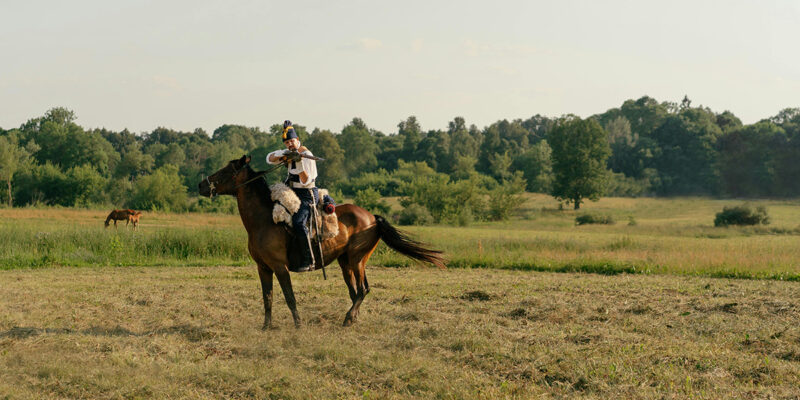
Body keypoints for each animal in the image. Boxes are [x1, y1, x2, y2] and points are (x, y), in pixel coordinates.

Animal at [194, 155, 444, 326]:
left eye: (225, 171)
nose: (201, 185)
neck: (264, 219)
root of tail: (373, 217)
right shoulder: (263, 268)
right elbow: (268, 298)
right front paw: (266, 327)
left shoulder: (280, 267)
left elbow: (289, 297)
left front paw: (298, 326)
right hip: (346, 263)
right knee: (355, 291)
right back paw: (352, 318)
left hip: (357, 260)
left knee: (363, 289)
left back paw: (348, 318)